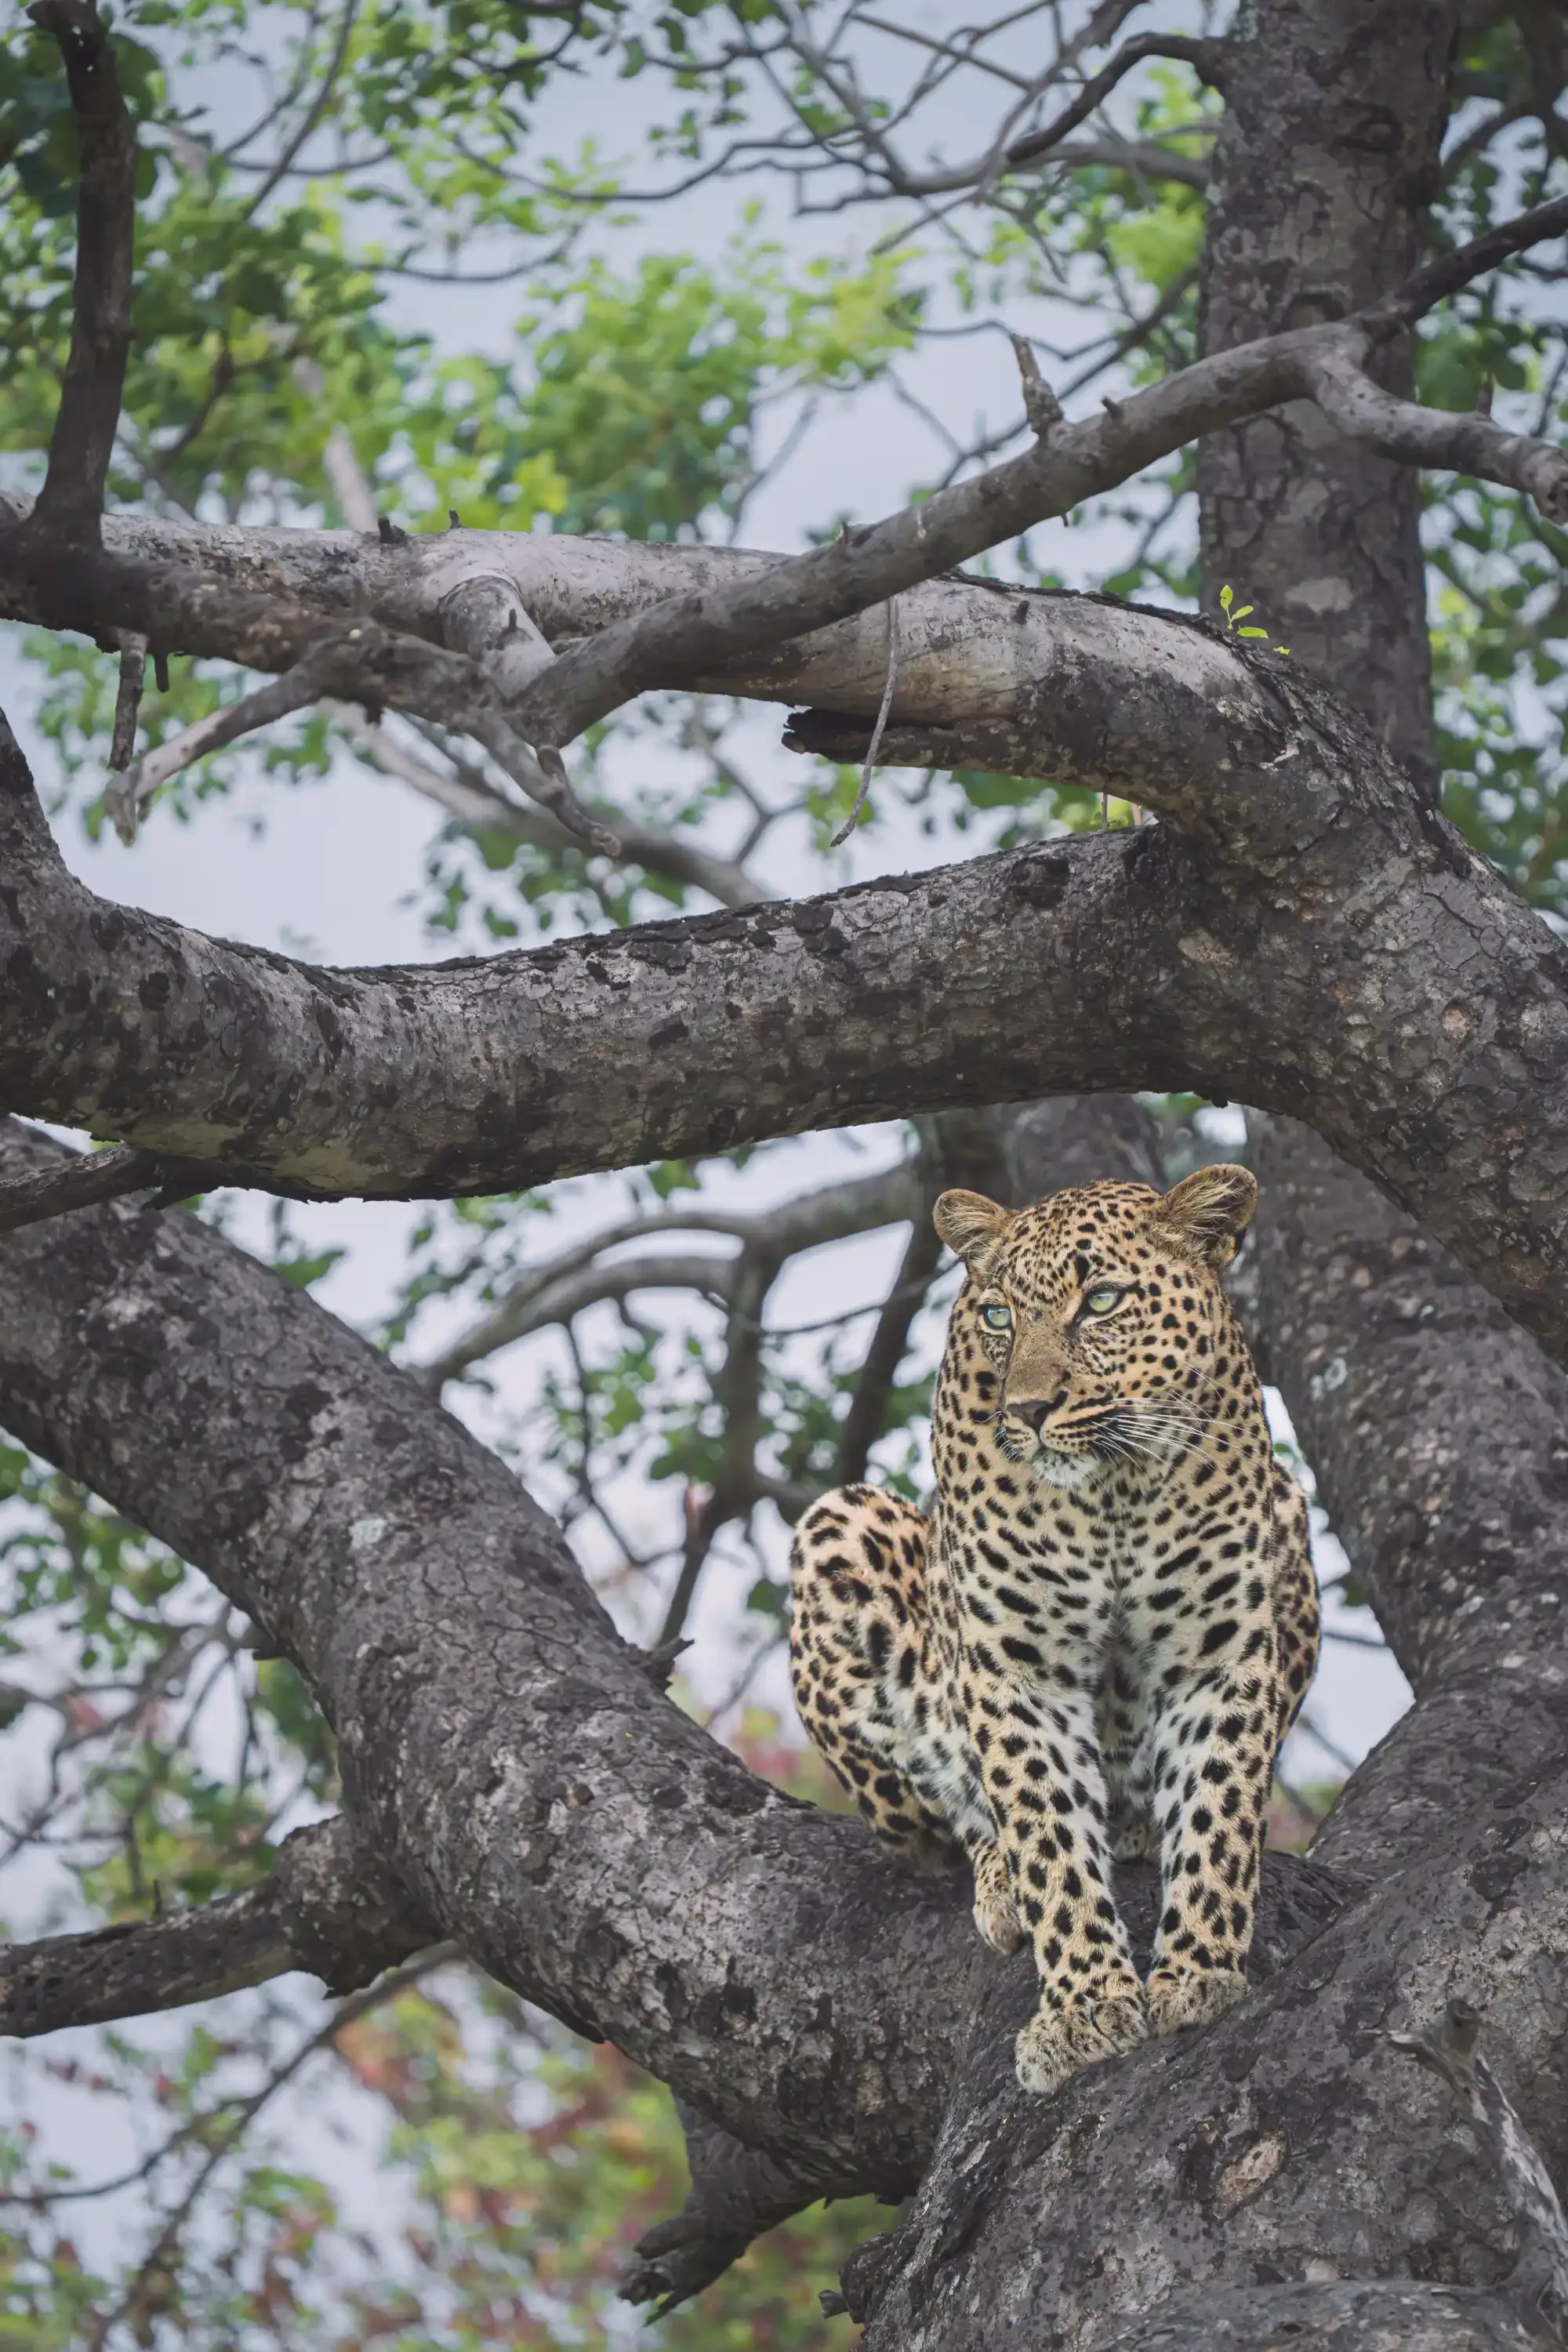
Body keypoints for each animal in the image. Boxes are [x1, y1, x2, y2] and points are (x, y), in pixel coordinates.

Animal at [789, 1164, 1319, 2098]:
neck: (1112, 1491)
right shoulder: (1015, 1671)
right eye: (999, 1316)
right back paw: (1000, 1879)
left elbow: (1219, 1811)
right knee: (956, 1814)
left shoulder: (1216, 1654)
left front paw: (1197, 1975)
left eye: (1100, 1301)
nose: (1030, 1409)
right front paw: (1084, 2009)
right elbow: (1048, 1836)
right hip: (839, 1528)